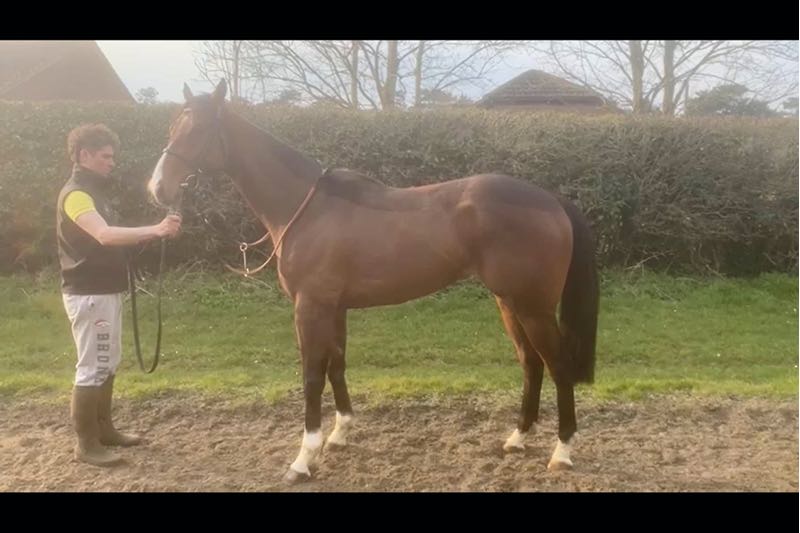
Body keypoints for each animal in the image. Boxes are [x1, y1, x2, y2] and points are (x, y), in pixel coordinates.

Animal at [147, 80, 599, 483]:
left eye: (198, 130)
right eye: (171, 128)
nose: (157, 188)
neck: (305, 208)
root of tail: (550, 199)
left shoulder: (309, 307)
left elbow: (312, 375)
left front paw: (303, 460)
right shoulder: (334, 307)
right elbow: (337, 364)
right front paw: (340, 433)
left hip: (532, 307)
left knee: (558, 366)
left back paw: (561, 452)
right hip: (509, 303)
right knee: (531, 364)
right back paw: (518, 438)